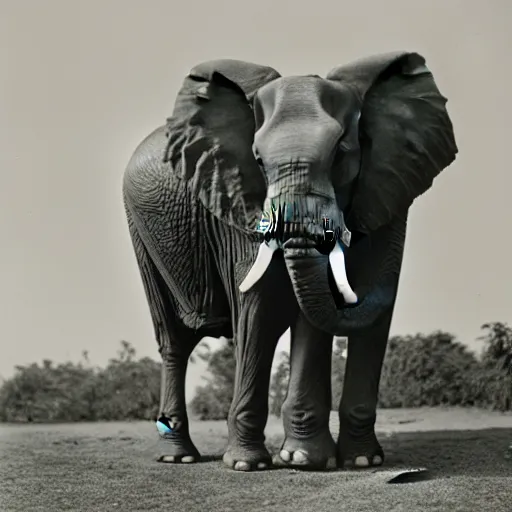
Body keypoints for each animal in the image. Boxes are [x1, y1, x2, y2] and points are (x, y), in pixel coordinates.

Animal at [122, 52, 458, 472]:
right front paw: (254, 465)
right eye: (257, 159)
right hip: (141, 236)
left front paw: (355, 461)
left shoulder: (389, 189)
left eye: (341, 153)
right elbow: (261, 307)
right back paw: (177, 456)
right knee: (174, 340)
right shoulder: (239, 202)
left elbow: (344, 313)